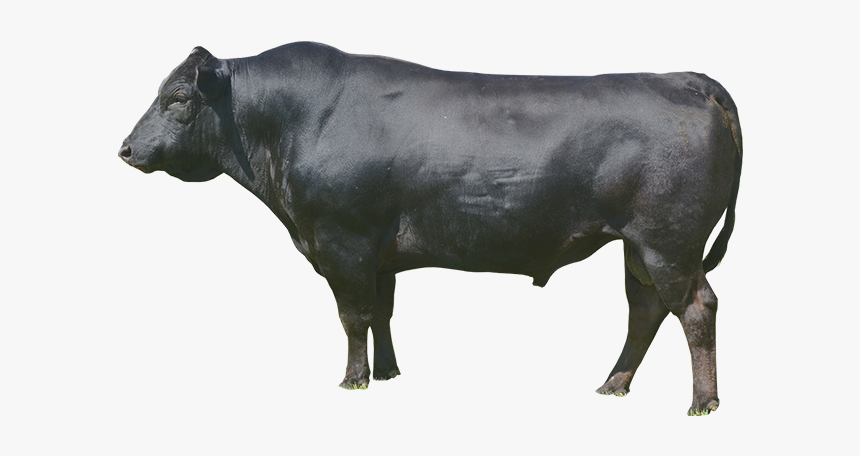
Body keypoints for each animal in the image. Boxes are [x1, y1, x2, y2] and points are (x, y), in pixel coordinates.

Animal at [119, 42, 742, 416]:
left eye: (177, 98)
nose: (125, 149)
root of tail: (687, 77)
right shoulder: (378, 253)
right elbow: (382, 312)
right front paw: (388, 373)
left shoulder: (342, 240)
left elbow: (353, 315)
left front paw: (353, 381)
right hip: (639, 245)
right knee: (646, 311)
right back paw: (614, 385)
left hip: (668, 242)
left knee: (695, 309)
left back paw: (702, 403)